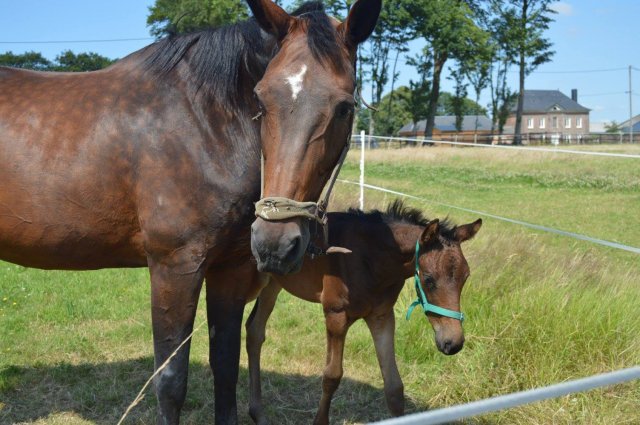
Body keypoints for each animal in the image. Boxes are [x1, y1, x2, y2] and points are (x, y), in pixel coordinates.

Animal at [0, 1, 380, 422]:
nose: (275, 244)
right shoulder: (175, 268)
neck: (205, 125)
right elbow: (170, 382)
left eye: (344, 107)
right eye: (261, 100)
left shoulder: (230, 269)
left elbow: (226, 368)